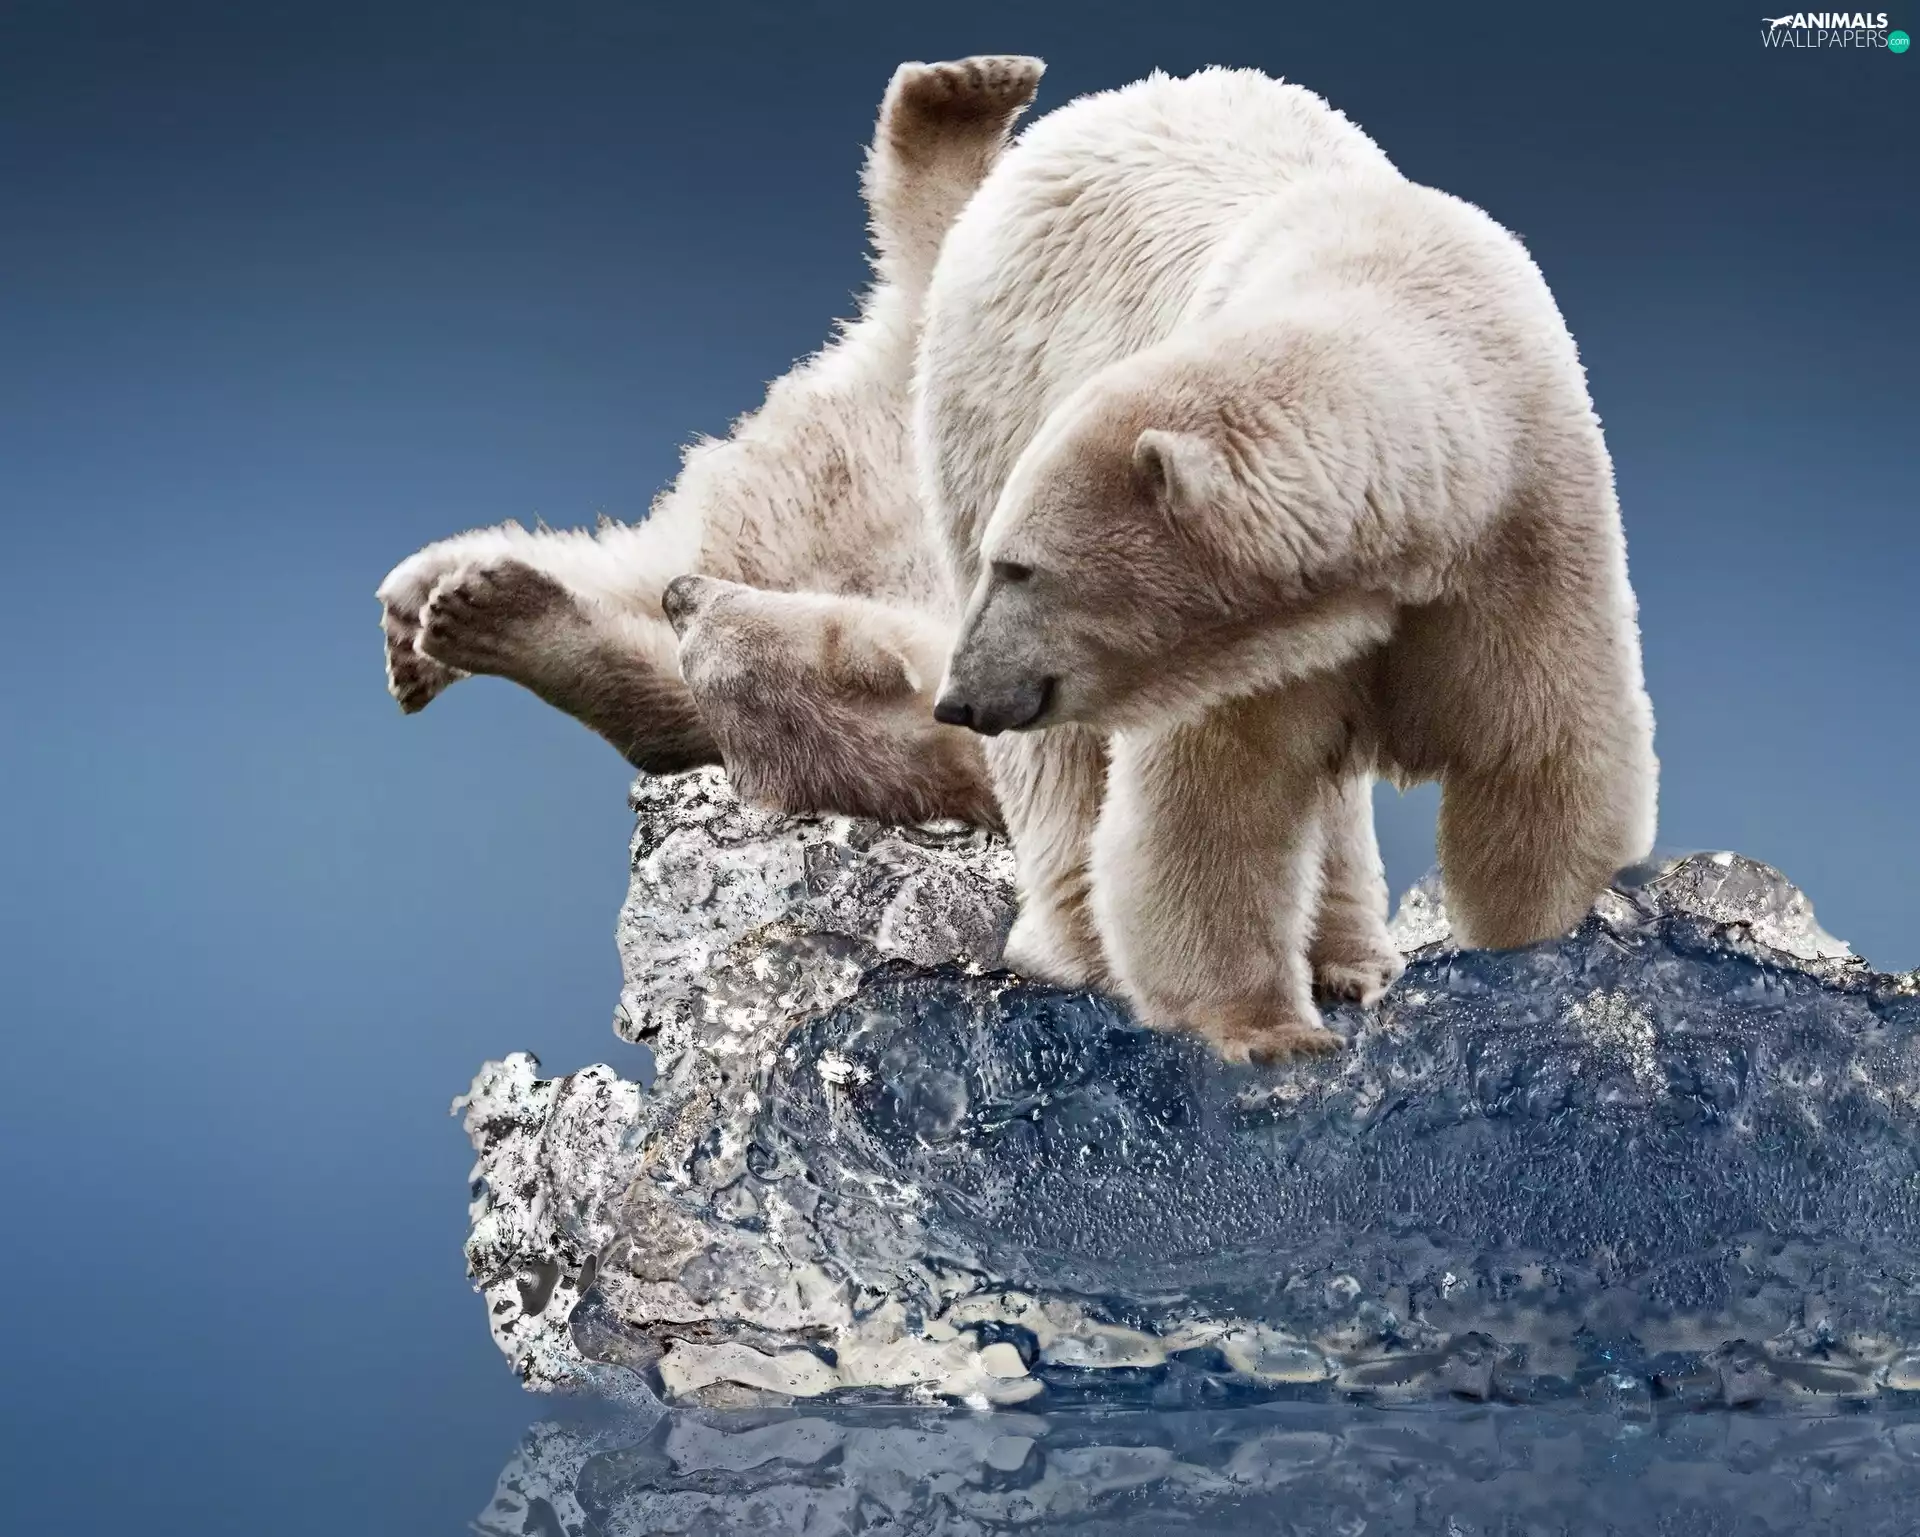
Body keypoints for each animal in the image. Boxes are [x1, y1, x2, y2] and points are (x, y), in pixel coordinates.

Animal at [921, 68, 1658, 1059]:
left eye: (1023, 569)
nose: (957, 698)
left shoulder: (1522, 531)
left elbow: (1537, 756)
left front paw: (1524, 957)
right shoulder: (1247, 648)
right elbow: (1214, 806)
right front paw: (1271, 1030)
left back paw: (1352, 957)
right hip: (990, 403)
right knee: (1066, 768)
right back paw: (1085, 951)